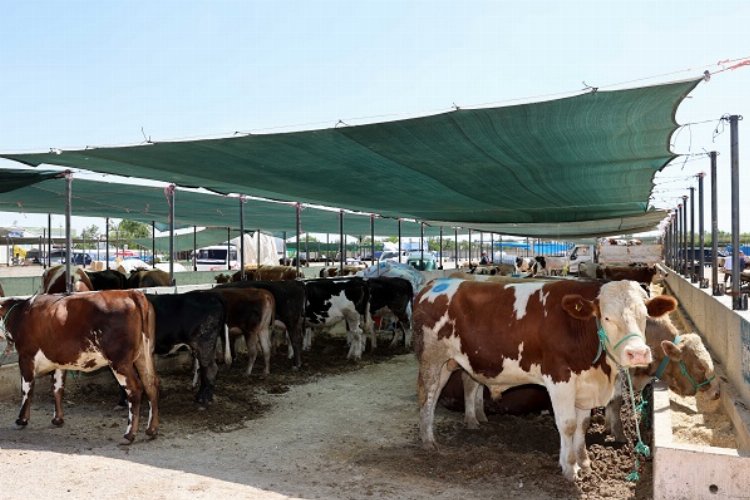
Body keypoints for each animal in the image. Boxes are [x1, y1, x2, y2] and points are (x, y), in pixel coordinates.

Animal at [0, 292, 159, 444]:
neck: (19, 313)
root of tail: (132, 293)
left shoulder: (26, 357)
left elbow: (26, 390)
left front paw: (21, 420)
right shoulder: (58, 361)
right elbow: (57, 388)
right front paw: (58, 419)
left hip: (120, 361)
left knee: (135, 389)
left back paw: (129, 435)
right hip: (144, 355)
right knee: (150, 384)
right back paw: (151, 430)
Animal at [414, 278, 680, 480]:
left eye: (644, 315)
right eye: (606, 317)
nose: (638, 353)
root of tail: (433, 284)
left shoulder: (584, 385)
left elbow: (583, 424)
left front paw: (584, 462)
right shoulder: (560, 378)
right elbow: (568, 424)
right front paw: (570, 468)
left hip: (453, 361)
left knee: (454, 388)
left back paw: (466, 423)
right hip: (432, 358)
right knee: (428, 396)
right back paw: (428, 441)